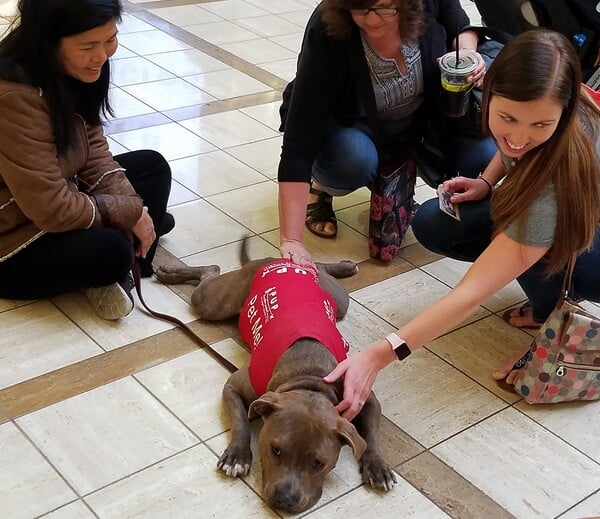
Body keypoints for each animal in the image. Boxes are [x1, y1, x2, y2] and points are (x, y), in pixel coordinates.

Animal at [157, 249, 396, 516]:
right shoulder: (234, 386)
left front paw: (377, 466)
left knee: (316, 266)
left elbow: (372, 434)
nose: (285, 499)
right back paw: (170, 273)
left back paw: (340, 266)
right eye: (276, 449)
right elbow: (240, 421)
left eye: (318, 463)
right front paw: (237, 456)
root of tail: (279, 260)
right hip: (213, 303)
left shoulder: (364, 395)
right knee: (210, 271)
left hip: (339, 299)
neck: (309, 379)